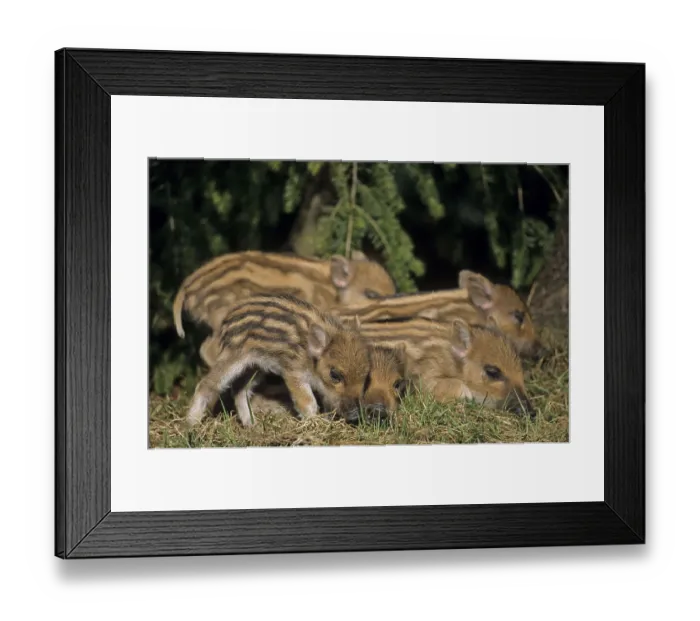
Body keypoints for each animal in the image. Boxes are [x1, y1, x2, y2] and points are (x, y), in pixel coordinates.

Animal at [184, 294, 372, 429]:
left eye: (365, 377)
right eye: (335, 375)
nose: (356, 415)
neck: (310, 356)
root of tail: (227, 319)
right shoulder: (293, 372)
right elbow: (308, 402)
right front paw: (315, 423)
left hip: (255, 367)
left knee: (240, 390)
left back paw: (252, 425)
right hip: (232, 356)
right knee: (207, 384)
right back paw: (191, 425)